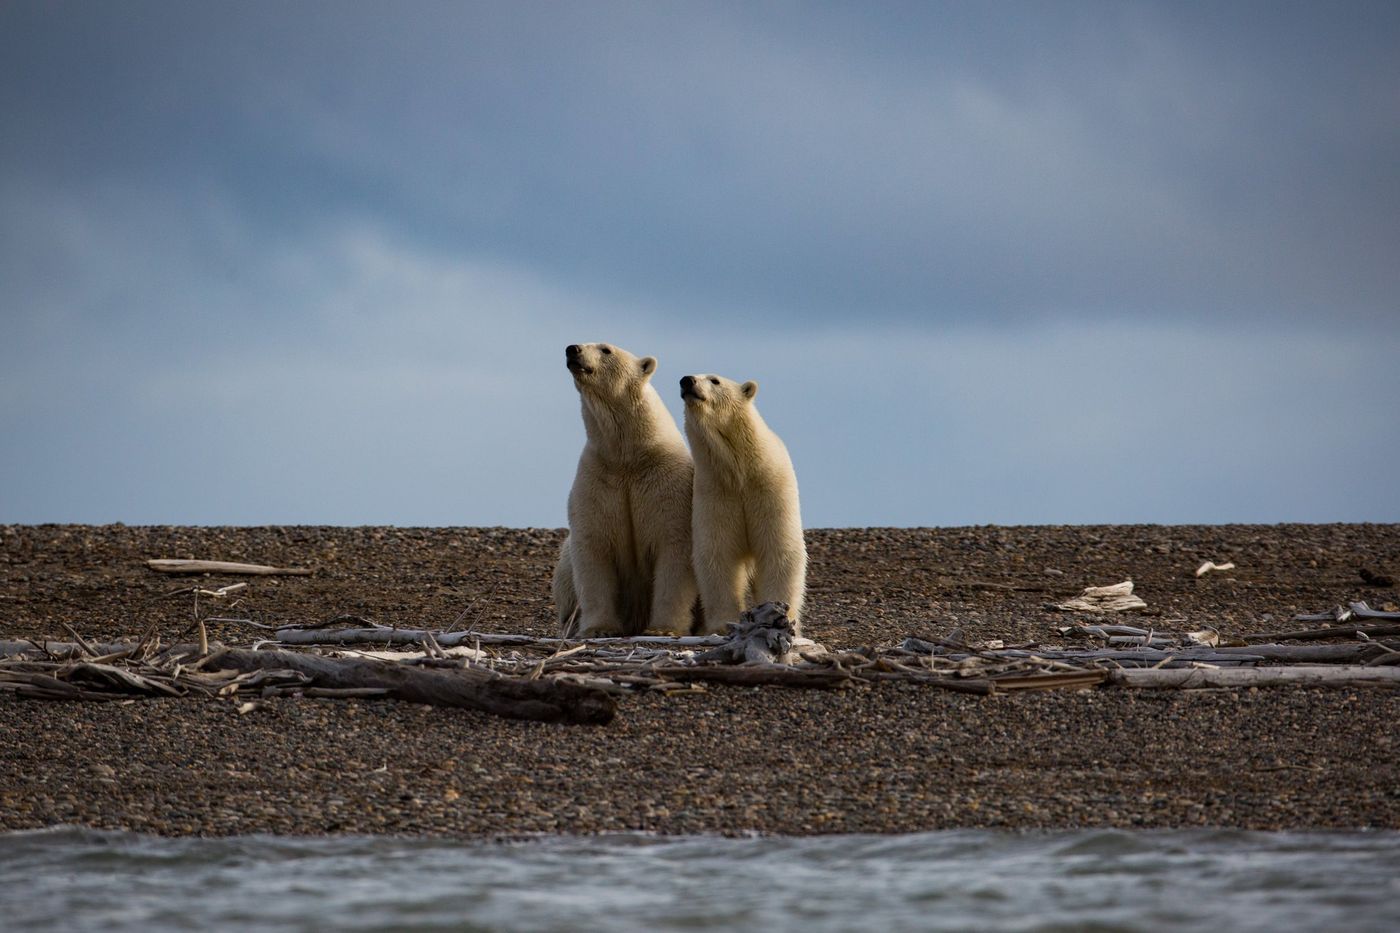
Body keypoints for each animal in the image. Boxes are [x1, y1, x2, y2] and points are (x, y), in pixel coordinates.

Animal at [548, 344, 697, 636]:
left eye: (606, 349)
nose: (573, 349)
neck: (628, 457)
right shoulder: (599, 478)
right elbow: (594, 547)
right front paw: (598, 628)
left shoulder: (667, 482)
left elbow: (674, 547)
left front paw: (662, 629)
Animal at [680, 369, 812, 633]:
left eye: (715, 380)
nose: (687, 380)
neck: (739, 473)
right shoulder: (716, 493)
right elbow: (718, 555)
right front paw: (723, 623)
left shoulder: (770, 490)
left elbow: (779, 550)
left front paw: (781, 615)